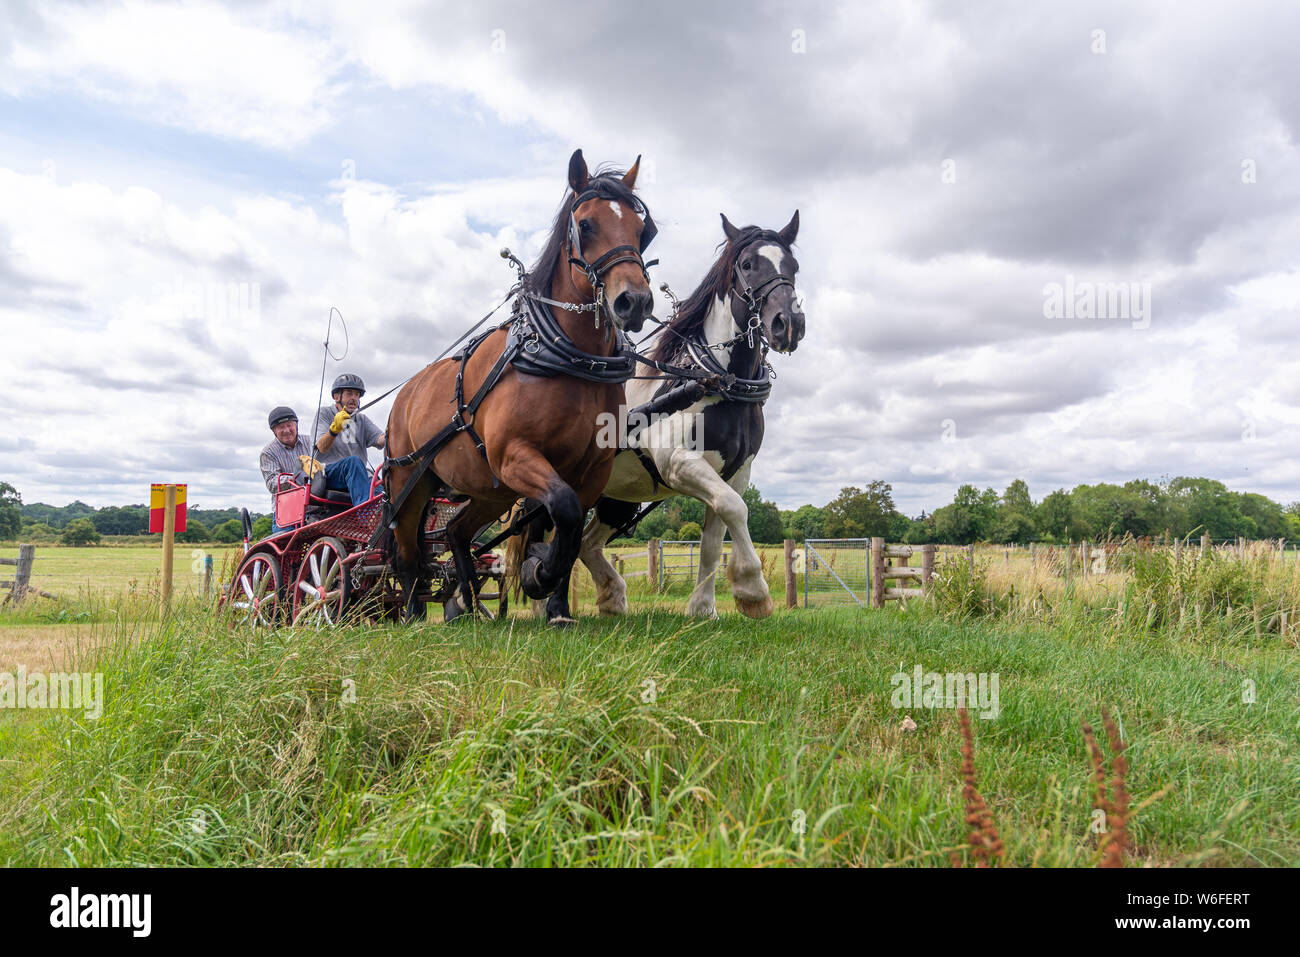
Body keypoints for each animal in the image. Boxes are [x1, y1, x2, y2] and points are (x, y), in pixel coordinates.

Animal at [379, 148, 655, 624]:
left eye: (643, 231)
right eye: (585, 225)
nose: (633, 302)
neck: (570, 361)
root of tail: (405, 395)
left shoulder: (592, 469)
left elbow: (570, 530)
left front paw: (558, 605)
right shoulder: (515, 455)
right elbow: (563, 511)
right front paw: (538, 574)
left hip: (488, 489)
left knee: (456, 532)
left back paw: (468, 606)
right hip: (410, 482)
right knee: (407, 551)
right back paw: (414, 611)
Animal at [572, 213, 795, 621]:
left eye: (794, 266)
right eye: (747, 265)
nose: (789, 323)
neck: (716, 379)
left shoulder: (735, 472)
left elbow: (714, 537)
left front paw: (704, 608)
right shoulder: (678, 462)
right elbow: (735, 509)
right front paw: (753, 589)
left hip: (616, 497)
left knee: (586, 543)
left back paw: (613, 597)